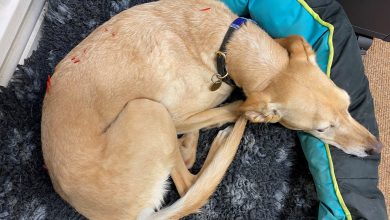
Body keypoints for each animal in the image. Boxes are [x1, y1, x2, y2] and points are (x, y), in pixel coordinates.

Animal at [41, 0, 382, 220]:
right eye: (322, 129)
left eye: (348, 105)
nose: (376, 150)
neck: (227, 43)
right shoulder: (180, 114)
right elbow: (236, 108)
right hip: (148, 111)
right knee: (188, 181)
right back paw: (215, 144)